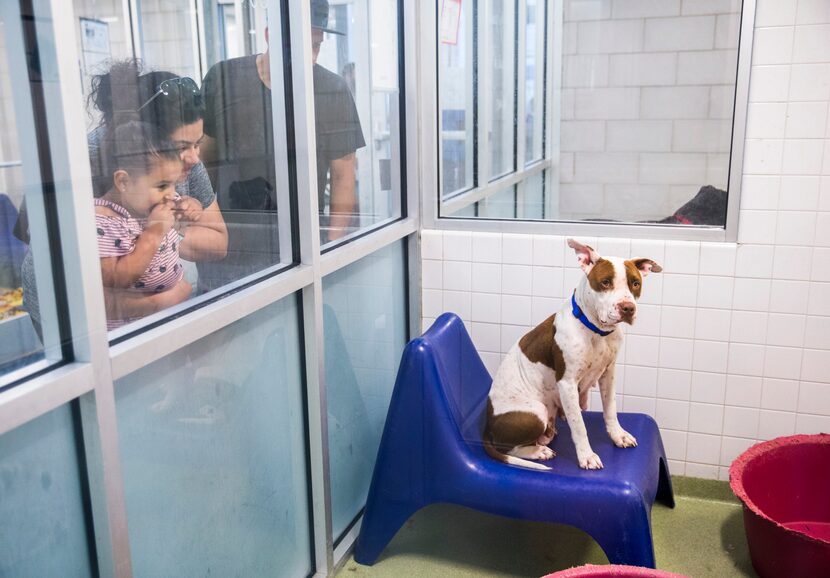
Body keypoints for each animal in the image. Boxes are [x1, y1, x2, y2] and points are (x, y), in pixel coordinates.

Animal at [480, 238, 664, 468]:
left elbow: (610, 410)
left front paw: (618, 435)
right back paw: (538, 452)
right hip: (536, 411)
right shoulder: (567, 384)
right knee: (510, 448)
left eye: (635, 283)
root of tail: (487, 425)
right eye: (605, 282)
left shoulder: (608, 374)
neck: (596, 331)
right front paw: (587, 456)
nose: (627, 308)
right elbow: (579, 426)